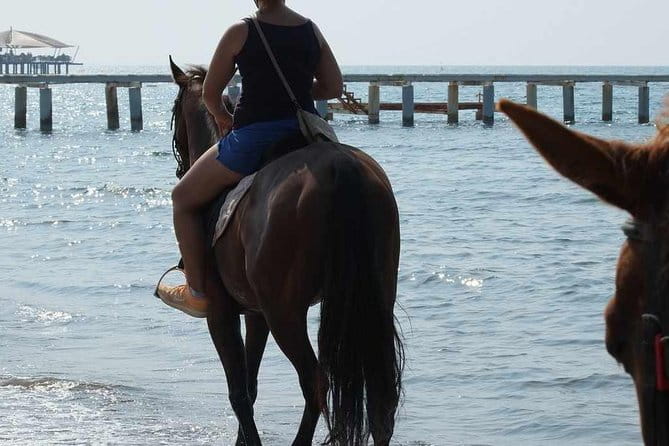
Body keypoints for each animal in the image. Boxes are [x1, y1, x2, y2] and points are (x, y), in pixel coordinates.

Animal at [167, 58, 404, 446]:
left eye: (174, 114)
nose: (180, 166)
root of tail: (341, 168)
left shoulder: (222, 313)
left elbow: (239, 392)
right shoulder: (255, 313)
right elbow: (250, 385)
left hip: (286, 313)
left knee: (315, 383)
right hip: (373, 299)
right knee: (382, 392)